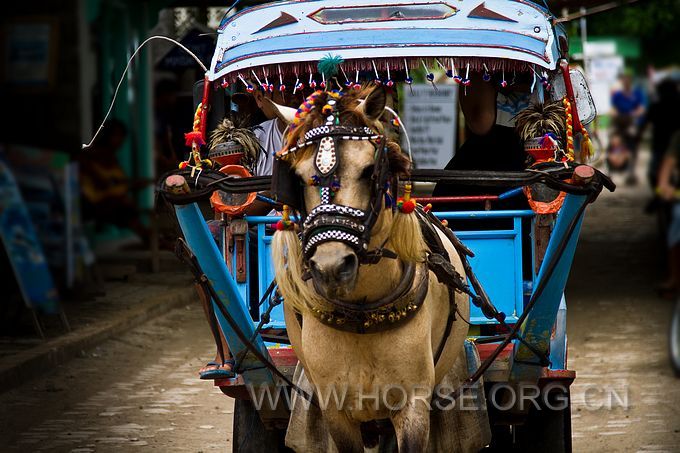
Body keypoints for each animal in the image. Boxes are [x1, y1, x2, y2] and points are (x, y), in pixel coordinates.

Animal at [268, 85, 470, 452]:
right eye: (299, 179)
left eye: (367, 171)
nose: (332, 267)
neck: (363, 313)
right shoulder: (335, 409)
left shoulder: (413, 404)